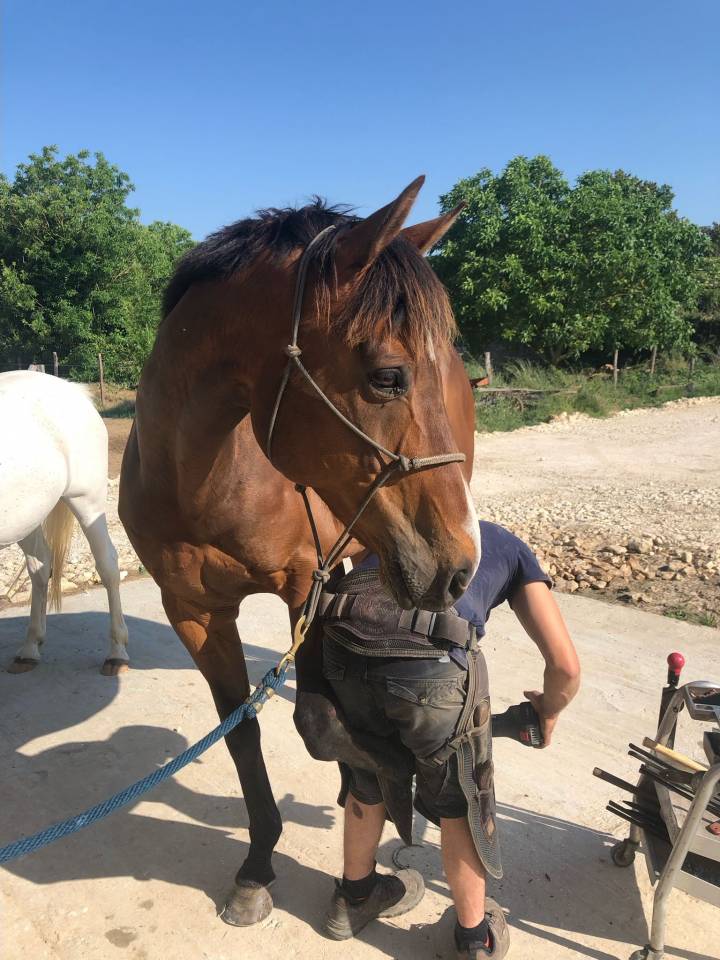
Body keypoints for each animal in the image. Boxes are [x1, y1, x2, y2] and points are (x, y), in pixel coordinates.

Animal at [0, 371, 129, 675]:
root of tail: (72, 389)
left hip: (87, 501)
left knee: (108, 565)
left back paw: (117, 652)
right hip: (26, 517)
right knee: (40, 566)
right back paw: (30, 648)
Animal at [119, 176, 478, 924]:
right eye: (387, 376)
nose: (458, 564)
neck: (207, 481)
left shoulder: (306, 582)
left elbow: (315, 716)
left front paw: (388, 780)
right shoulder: (192, 610)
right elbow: (243, 732)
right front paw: (258, 865)